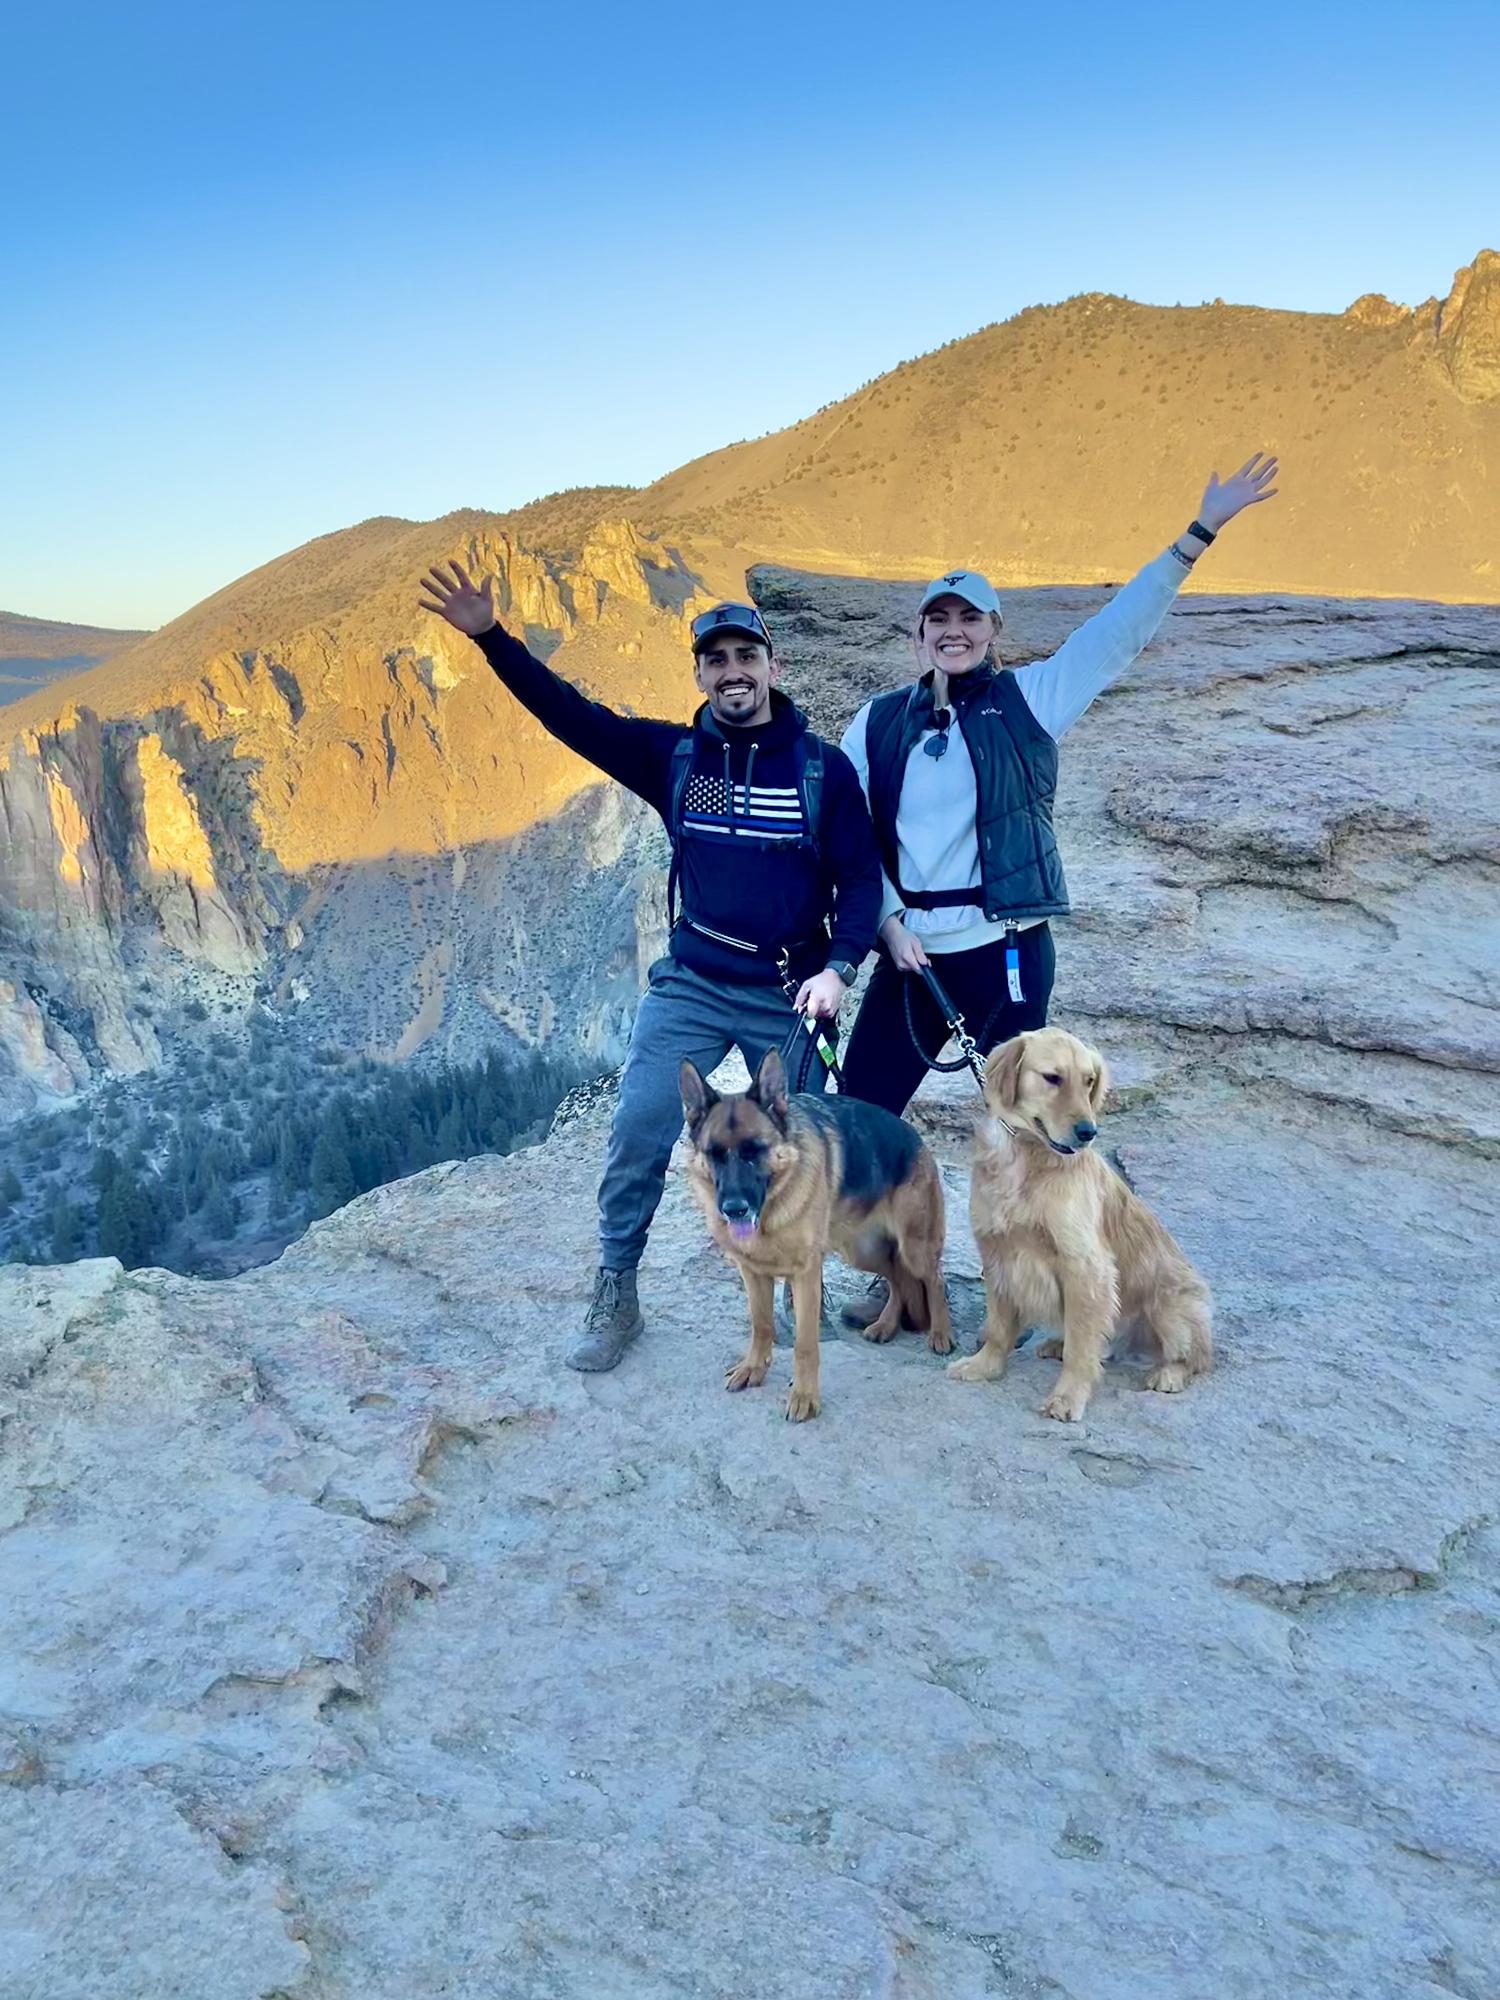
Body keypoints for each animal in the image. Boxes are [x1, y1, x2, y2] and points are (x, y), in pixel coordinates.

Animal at [680, 1048, 952, 1424]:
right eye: (714, 1154)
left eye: (754, 1151)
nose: (734, 1209)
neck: (772, 1211)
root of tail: (917, 1140)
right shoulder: (753, 1273)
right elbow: (761, 1324)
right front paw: (754, 1369)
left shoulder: (806, 1276)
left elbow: (805, 1344)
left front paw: (805, 1397)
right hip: (863, 1250)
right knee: (899, 1279)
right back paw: (885, 1325)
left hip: (915, 1247)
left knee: (934, 1279)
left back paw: (941, 1334)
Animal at [956, 1032, 1216, 1424]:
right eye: (1052, 1078)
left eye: (1089, 1081)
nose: (1088, 1132)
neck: (1026, 1156)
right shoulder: (998, 1253)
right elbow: (1000, 1327)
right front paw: (984, 1366)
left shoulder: (1085, 1265)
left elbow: (1081, 1348)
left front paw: (1067, 1398)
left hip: (1171, 1308)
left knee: (1196, 1357)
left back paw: (1169, 1373)